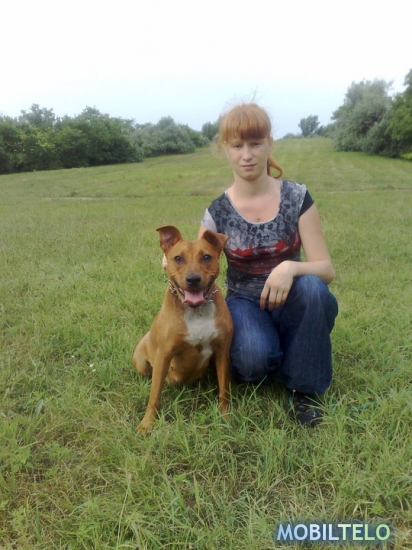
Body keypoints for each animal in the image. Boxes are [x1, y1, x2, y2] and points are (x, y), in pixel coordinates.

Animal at [133, 225, 233, 433]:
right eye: (178, 258)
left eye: (206, 257)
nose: (193, 279)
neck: (196, 311)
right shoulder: (164, 355)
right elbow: (154, 395)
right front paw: (147, 423)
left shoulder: (222, 353)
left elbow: (223, 390)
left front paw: (225, 417)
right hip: (142, 363)